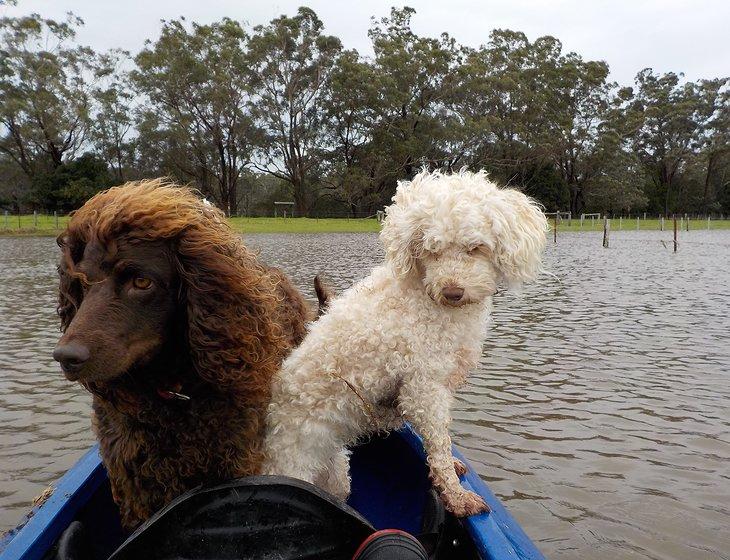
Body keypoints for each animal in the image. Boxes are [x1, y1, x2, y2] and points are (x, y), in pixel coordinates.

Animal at [52, 179, 308, 528]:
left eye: (141, 281)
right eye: (82, 283)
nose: (66, 356)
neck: (172, 397)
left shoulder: (237, 459)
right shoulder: (136, 490)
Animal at [262, 170, 544, 516]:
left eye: (476, 248)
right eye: (431, 250)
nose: (452, 292)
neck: (427, 299)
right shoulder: (423, 385)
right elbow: (438, 440)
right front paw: (456, 495)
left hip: (336, 474)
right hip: (297, 466)